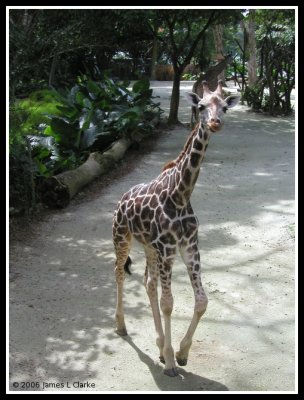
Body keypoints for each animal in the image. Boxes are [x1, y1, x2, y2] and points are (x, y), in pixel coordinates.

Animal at [111, 80, 240, 376]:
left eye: (224, 107)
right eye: (201, 106)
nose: (215, 123)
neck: (180, 195)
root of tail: (122, 199)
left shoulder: (189, 247)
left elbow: (201, 301)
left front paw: (180, 353)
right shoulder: (168, 249)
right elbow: (168, 303)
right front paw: (170, 362)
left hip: (149, 248)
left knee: (148, 283)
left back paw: (159, 345)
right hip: (122, 237)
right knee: (119, 273)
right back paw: (121, 326)